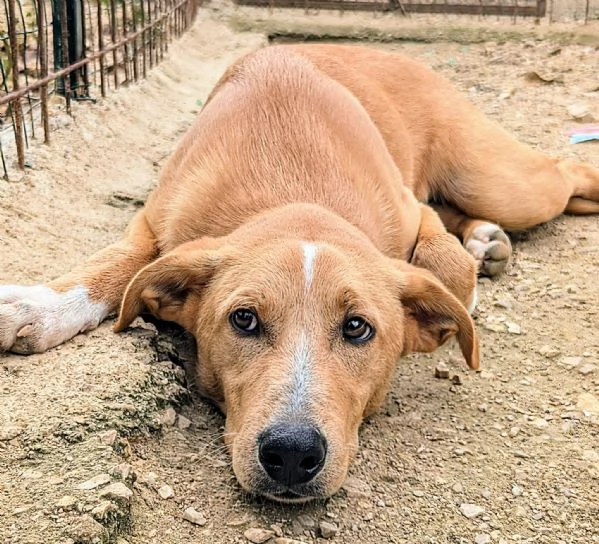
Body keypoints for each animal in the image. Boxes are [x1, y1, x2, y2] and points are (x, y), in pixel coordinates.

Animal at [1, 44, 599, 504]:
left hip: (498, 181)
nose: (291, 453)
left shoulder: (413, 213)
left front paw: (459, 298)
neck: (295, 191)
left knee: (566, 172)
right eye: (243, 320)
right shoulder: (153, 218)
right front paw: (40, 304)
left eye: (357, 327)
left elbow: (442, 263)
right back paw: (485, 240)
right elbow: (116, 264)